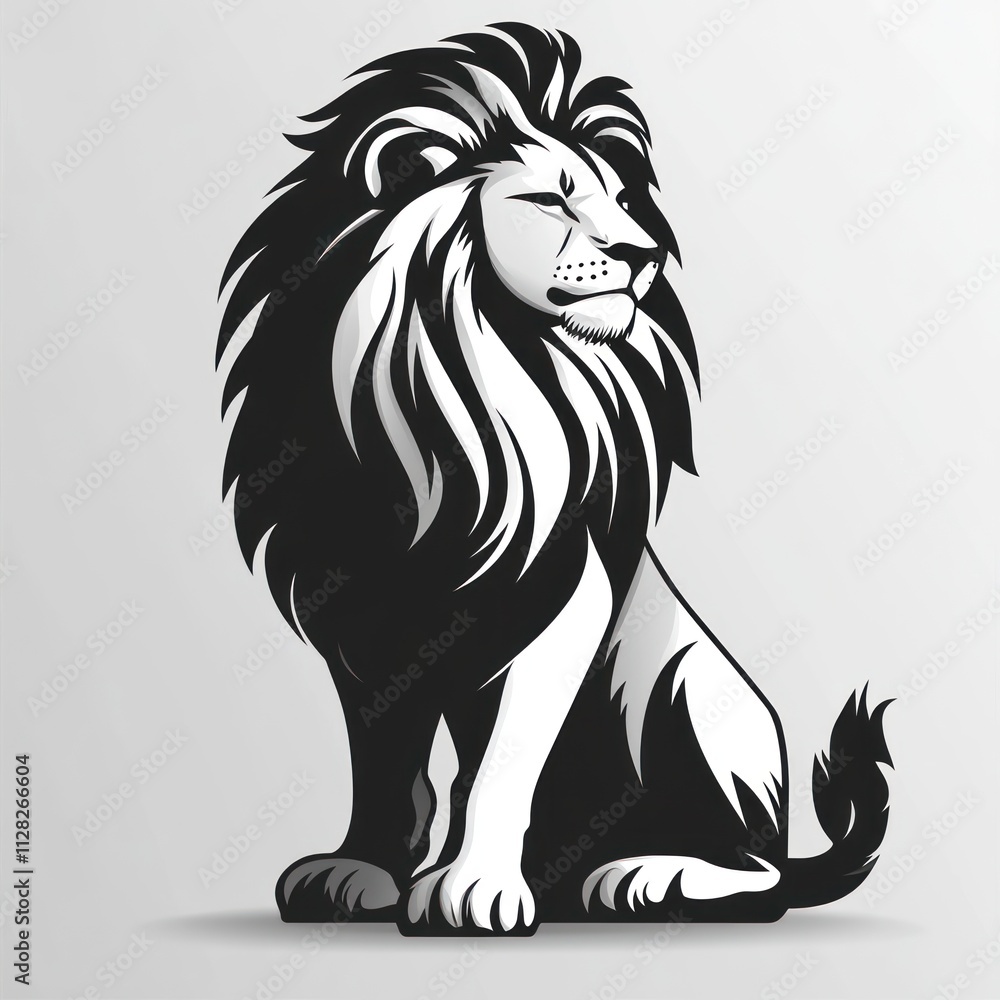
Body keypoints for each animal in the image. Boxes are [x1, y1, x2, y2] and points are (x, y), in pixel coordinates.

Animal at [217, 23, 893, 935]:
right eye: (550, 201)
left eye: (622, 201)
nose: (642, 252)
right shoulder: (359, 618)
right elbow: (387, 766)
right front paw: (360, 870)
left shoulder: (569, 601)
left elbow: (506, 762)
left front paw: (473, 891)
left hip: (690, 682)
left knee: (762, 873)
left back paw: (644, 876)